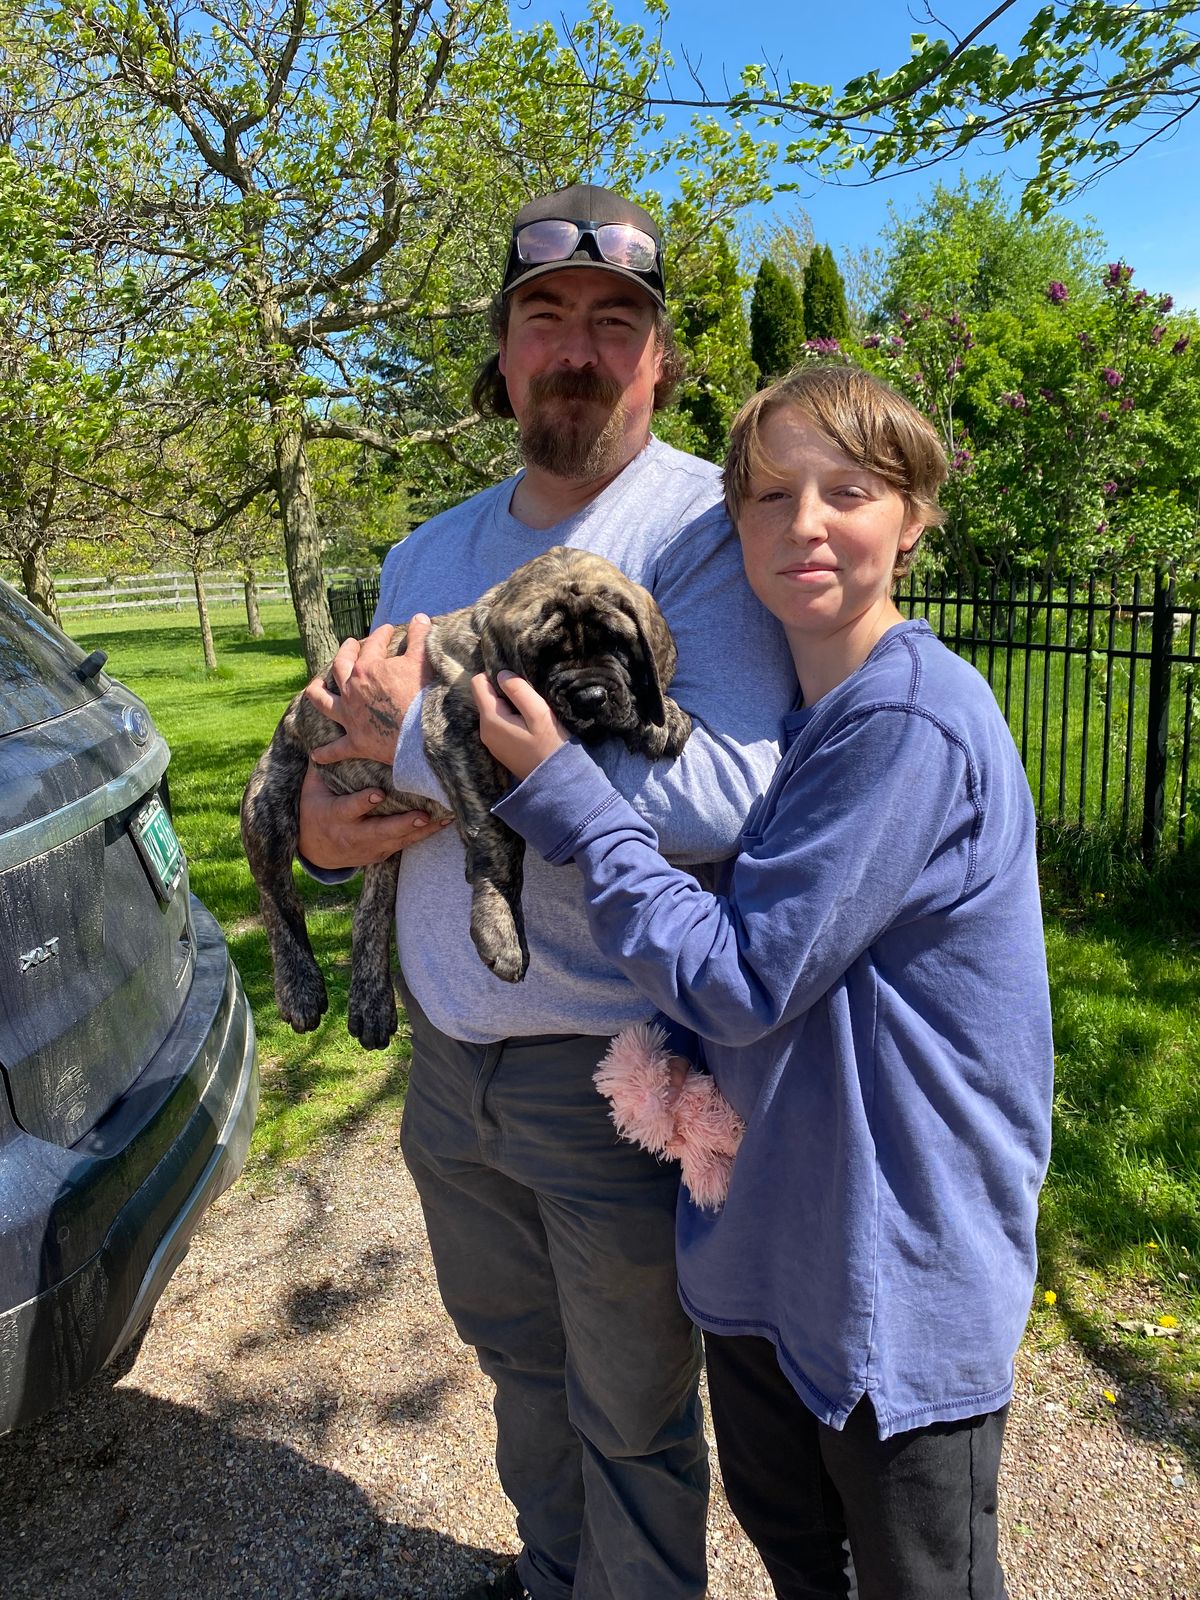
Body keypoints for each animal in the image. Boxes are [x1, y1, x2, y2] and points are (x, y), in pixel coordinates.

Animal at [241, 546, 692, 1049]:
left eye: (618, 645)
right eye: (547, 655)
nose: (591, 696)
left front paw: (663, 715)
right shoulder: (453, 730)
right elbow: (499, 841)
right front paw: (501, 928)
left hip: (385, 851)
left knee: (369, 915)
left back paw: (371, 1004)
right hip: (270, 800)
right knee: (276, 895)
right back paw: (299, 988)